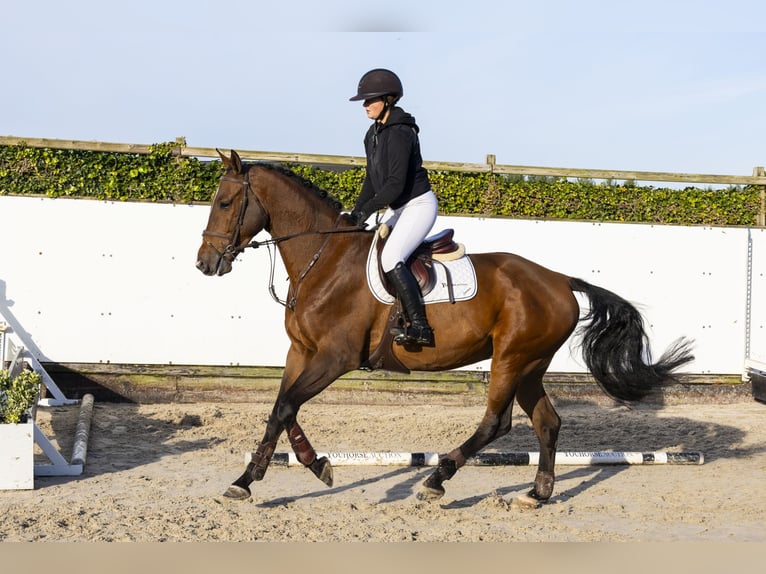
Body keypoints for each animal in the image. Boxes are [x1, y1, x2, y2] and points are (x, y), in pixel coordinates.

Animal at [194, 151, 696, 506]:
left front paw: (260, 478)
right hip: (531, 364)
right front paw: (294, 469)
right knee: (547, 422)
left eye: (225, 202)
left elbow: (285, 407)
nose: (204, 263)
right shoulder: (300, 351)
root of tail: (558, 279)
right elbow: (282, 409)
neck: (324, 259)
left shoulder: (335, 357)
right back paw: (536, 493)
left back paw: (437, 479)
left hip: (511, 357)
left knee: (497, 421)